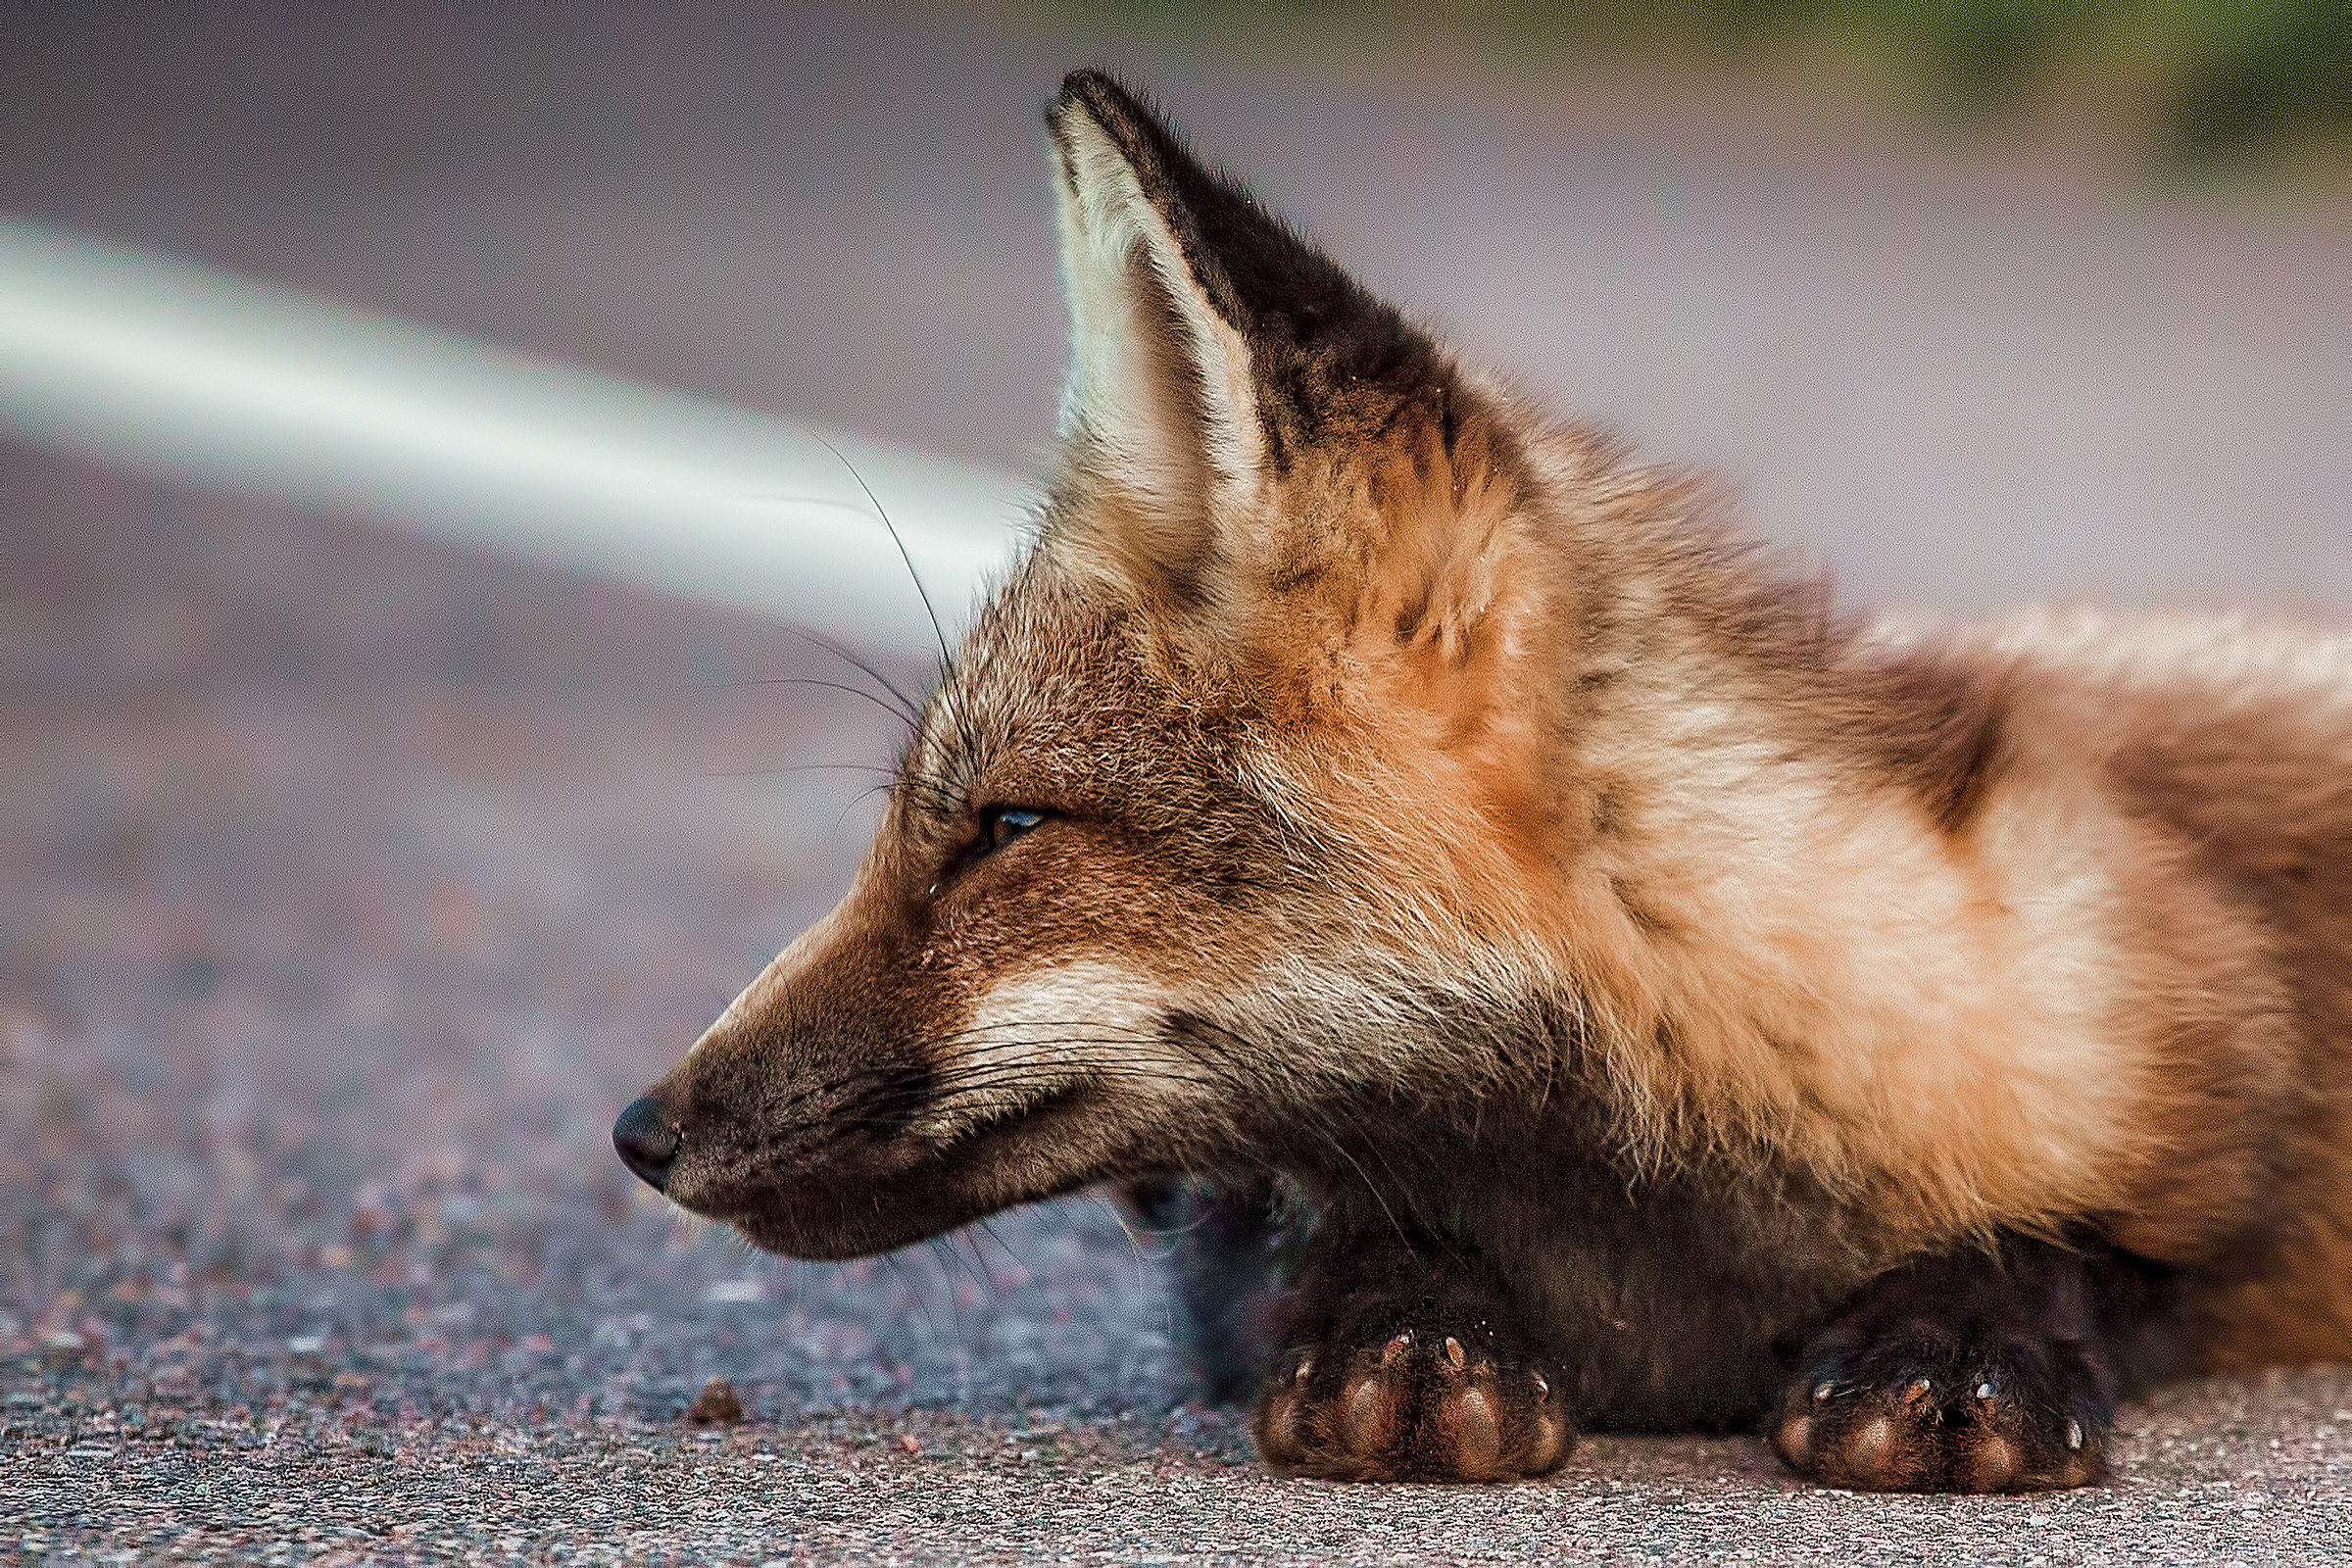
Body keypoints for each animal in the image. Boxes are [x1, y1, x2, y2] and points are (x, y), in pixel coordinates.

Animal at [613, 70, 2352, 1492]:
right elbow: (1326, 1231)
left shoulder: (2200, 1085)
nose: (641, 1134)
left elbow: (2065, 1241)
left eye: (1009, 826)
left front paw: (1958, 1337)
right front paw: (1405, 1325)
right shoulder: (1242, 1221)